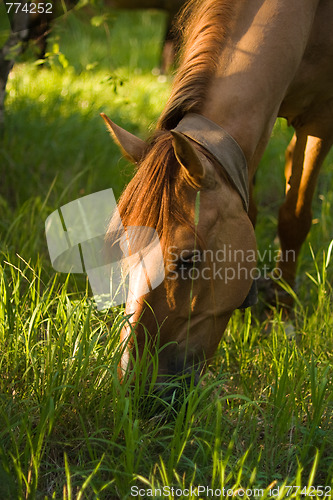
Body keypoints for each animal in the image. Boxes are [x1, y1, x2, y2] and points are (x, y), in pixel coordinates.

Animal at [101, 0, 332, 380]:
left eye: (188, 259)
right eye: (122, 249)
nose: (131, 380)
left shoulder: (320, 121)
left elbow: (294, 217)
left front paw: (282, 317)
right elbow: (251, 211)